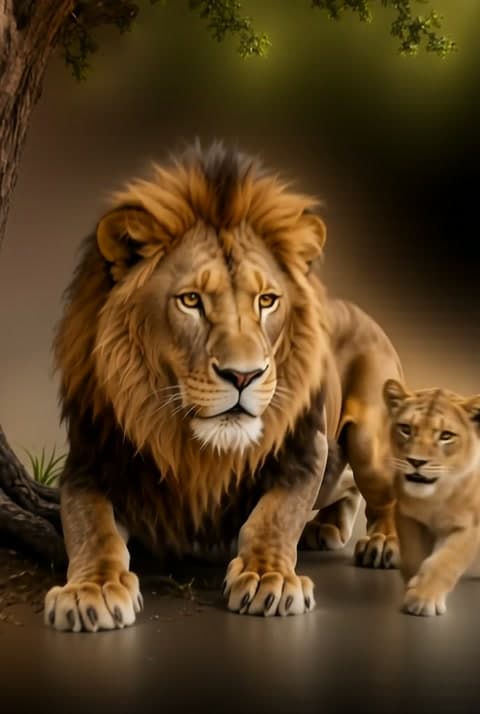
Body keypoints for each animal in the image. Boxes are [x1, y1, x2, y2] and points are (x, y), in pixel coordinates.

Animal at [44, 141, 403, 632]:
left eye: (266, 300)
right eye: (191, 300)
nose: (243, 376)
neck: (194, 446)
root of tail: (361, 311)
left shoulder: (305, 449)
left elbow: (275, 514)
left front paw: (270, 578)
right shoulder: (90, 462)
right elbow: (90, 526)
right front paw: (93, 589)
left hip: (371, 443)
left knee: (384, 489)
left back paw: (384, 542)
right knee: (344, 487)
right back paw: (325, 526)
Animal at [383, 379, 480, 616]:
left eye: (446, 436)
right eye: (406, 429)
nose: (416, 461)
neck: (435, 499)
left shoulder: (469, 526)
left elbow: (445, 561)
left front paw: (423, 598)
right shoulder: (407, 516)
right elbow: (413, 555)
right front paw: (412, 584)